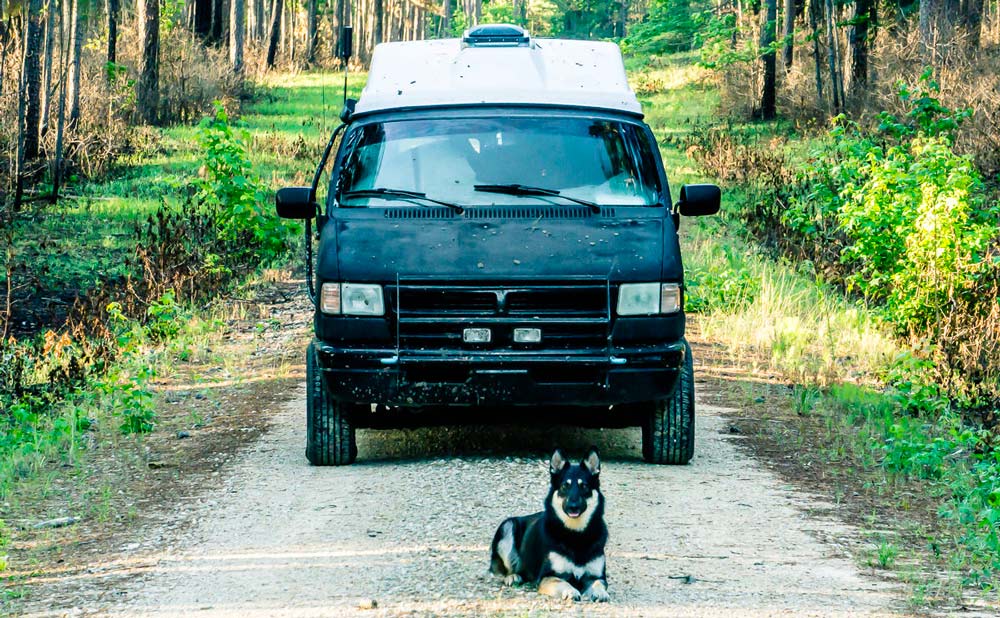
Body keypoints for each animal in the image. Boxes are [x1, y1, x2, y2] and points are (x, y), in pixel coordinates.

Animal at [486, 446, 604, 600]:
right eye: (564, 486)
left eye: (584, 486)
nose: (573, 507)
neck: (575, 534)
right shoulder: (547, 576)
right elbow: (562, 582)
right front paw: (571, 591)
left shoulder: (597, 576)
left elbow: (599, 583)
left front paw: (600, 592)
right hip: (507, 526)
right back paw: (512, 576)